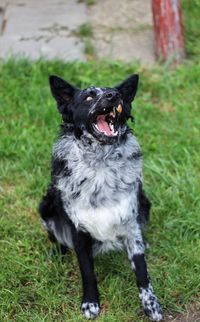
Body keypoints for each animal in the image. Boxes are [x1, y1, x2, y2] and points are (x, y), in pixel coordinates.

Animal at [38, 74, 162, 320]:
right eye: (88, 96)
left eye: (119, 93)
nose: (114, 96)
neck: (100, 163)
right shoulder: (78, 228)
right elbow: (87, 270)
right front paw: (90, 303)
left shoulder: (130, 221)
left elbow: (142, 272)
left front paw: (151, 305)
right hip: (46, 206)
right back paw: (57, 252)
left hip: (144, 202)